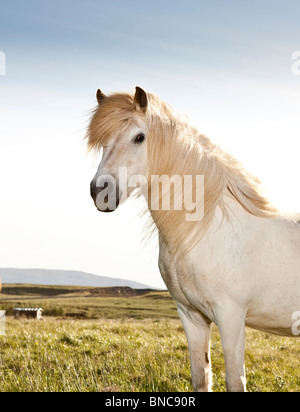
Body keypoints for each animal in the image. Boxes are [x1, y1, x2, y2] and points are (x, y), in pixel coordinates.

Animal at [86, 87, 300, 392]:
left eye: (139, 137)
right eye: (103, 142)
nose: (100, 192)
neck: (208, 230)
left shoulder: (231, 317)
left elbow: (235, 379)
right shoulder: (192, 316)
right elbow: (201, 376)